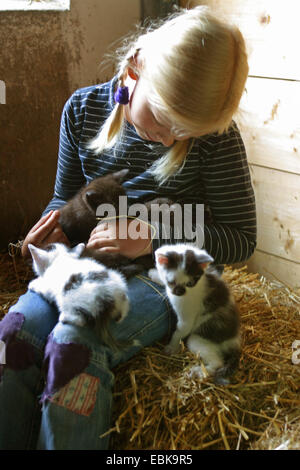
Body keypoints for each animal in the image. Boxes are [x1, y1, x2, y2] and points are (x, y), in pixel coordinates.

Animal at [148, 244, 241, 384]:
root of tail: (234, 340)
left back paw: (200, 371)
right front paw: (154, 274)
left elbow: (180, 331)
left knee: (218, 362)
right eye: (171, 281)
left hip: (200, 337)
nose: (180, 292)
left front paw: (171, 347)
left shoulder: (187, 315)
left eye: (190, 283)